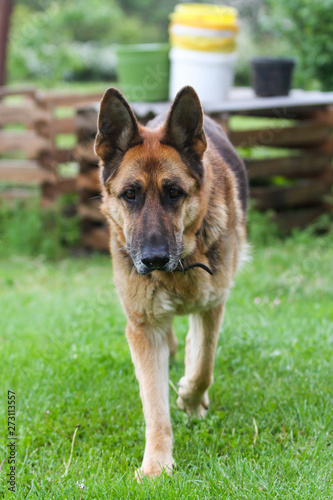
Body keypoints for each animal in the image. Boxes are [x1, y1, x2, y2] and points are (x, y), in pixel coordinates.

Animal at [93, 86, 246, 480]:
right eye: (130, 194)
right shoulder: (143, 329)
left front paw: (190, 398)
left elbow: (204, 365)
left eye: (174, 193)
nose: (153, 260)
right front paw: (156, 464)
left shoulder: (212, 306)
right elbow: (154, 403)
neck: (176, 272)